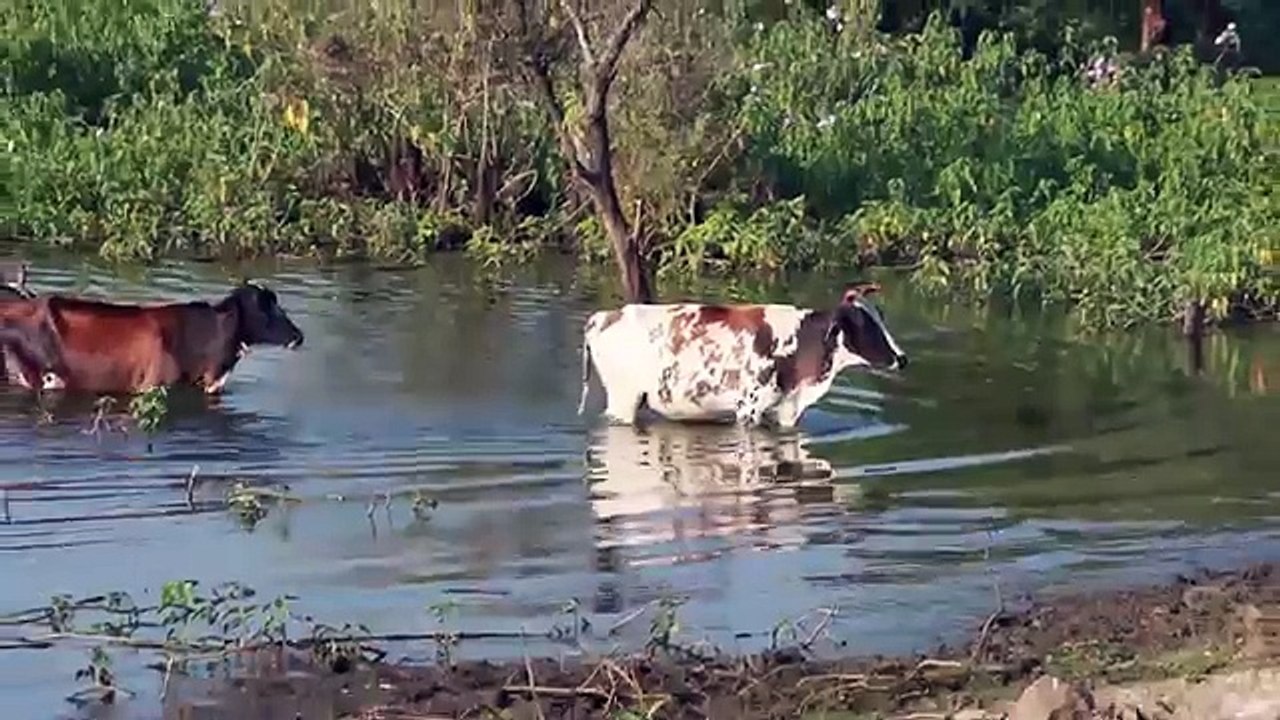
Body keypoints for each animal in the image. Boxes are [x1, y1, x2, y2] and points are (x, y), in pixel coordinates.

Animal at [577, 282, 907, 429]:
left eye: (880, 317)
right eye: (865, 325)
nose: (902, 358)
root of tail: (606, 316)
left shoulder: (786, 407)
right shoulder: (748, 407)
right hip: (623, 399)